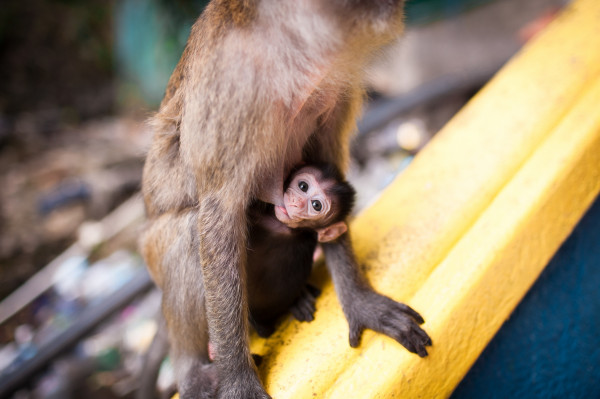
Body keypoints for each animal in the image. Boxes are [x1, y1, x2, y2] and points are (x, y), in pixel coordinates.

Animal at [141, 0, 432, 398]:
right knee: (189, 233)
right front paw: (238, 380)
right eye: (303, 189)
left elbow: (328, 167)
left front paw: (360, 302)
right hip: (152, 250)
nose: (296, 203)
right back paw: (191, 367)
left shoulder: (333, 81)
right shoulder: (234, 86)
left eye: (314, 200)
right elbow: (218, 213)